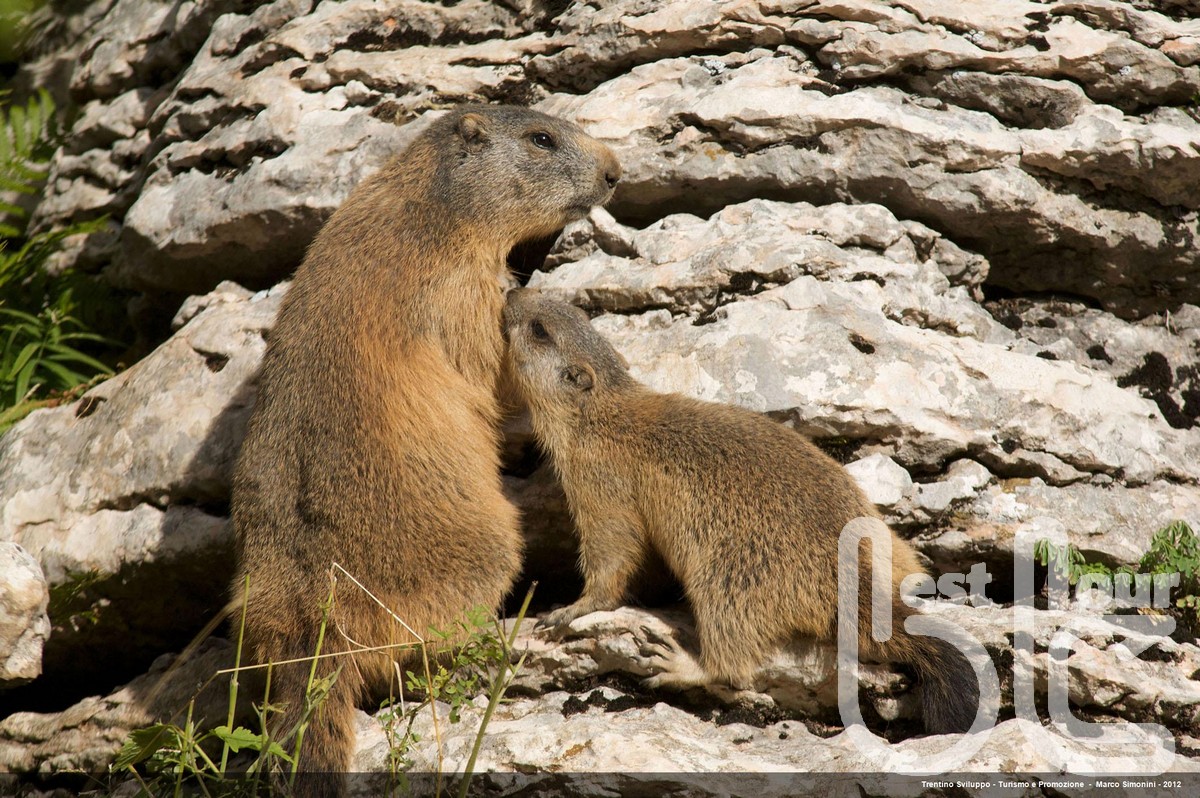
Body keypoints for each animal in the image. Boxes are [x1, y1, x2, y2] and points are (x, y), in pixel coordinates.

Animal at [231, 107, 620, 790]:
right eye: (541, 139)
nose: (616, 172)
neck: (434, 203)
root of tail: (312, 630)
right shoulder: (458, 286)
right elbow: (487, 361)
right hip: (482, 550)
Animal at [503, 290, 977, 735]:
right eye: (575, 312)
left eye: (540, 330)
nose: (510, 293)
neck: (600, 410)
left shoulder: (597, 476)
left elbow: (613, 543)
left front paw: (567, 610)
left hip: (731, 582)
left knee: (732, 659)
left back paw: (678, 663)